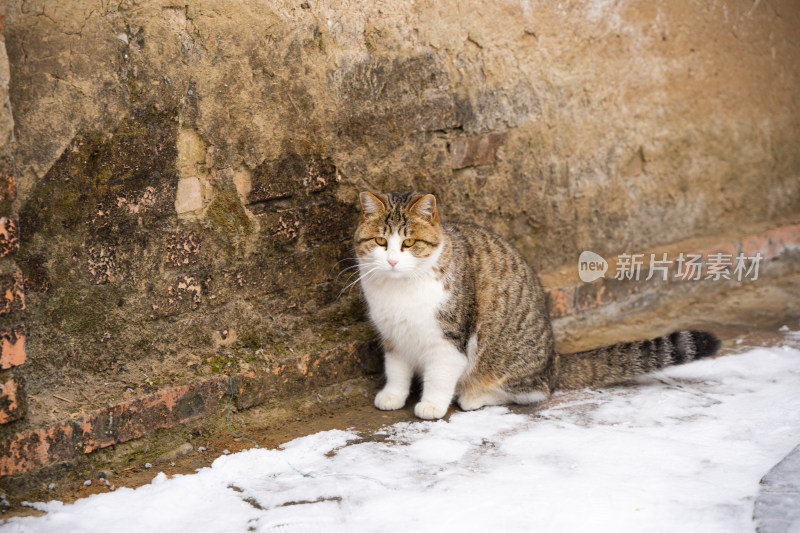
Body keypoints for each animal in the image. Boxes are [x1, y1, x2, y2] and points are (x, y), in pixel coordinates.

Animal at [354, 191, 720, 420]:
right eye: (380, 241)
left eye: (409, 242)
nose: (391, 261)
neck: (400, 288)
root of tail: (553, 360)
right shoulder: (392, 335)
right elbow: (397, 370)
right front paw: (393, 396)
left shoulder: (449, 341)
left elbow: (440, 377)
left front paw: (430, 404)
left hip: (507, 358)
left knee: (534, 391)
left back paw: (475, 396)